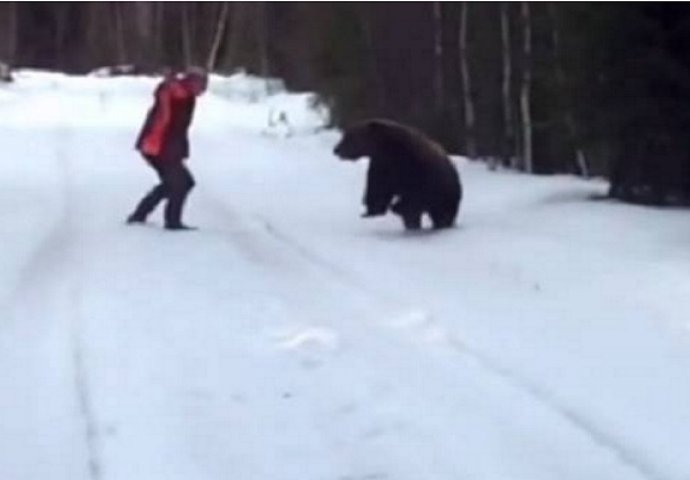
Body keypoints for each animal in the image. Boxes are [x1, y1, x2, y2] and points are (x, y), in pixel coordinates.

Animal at [332, 118, 460, 231]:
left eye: (349, 137)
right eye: (345, 136)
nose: (336, 149)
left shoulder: (414, 167)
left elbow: (413, 193)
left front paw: (394, 208)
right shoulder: (381, 164)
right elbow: (377, 187)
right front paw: (370, 211)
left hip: (446, 193)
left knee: (440, 212)